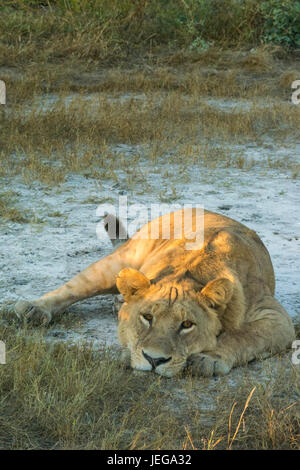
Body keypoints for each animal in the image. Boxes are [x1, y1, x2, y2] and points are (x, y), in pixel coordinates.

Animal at [14, 209, 296, 378]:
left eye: (187, 324)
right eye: (147, 317)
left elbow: (244, 336)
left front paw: (209, 358)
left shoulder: (276, 317)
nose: (153, 360)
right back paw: (34, 309)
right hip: (119, 262)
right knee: (74, 287)